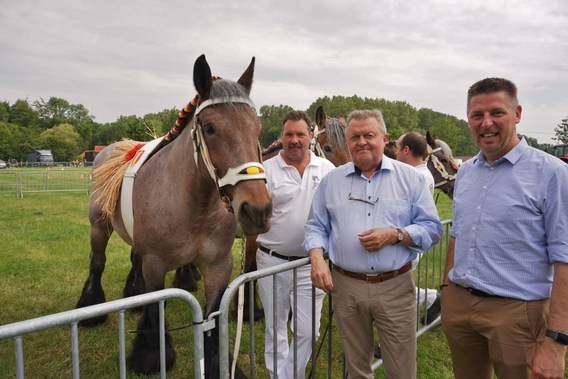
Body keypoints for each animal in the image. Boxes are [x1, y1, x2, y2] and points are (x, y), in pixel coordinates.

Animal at [75, 54, 272, 378]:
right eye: (210, 128)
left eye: (257, 127)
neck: (196, 207)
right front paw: (151, 356)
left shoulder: (219, 265)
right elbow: (156, 308)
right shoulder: (156, 264)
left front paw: (215, 363)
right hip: (98, 227)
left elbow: (212, 318)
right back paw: (91, 307)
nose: (257, 210)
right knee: (97, 262)